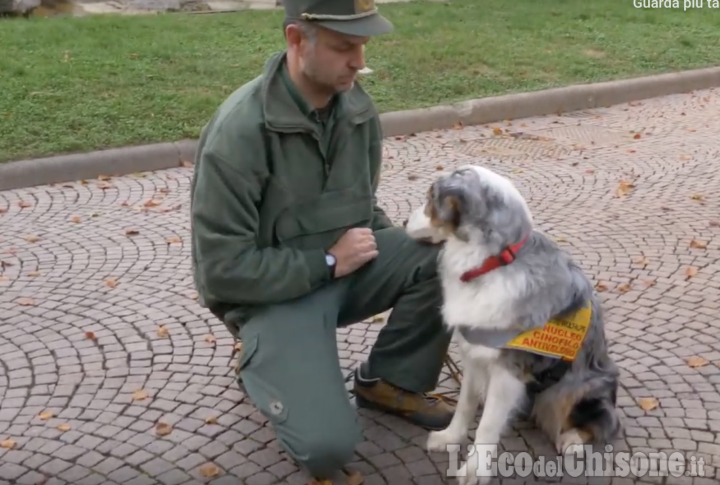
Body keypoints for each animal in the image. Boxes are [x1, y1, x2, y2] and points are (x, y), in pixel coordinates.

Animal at [404, 165, 620, 484]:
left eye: (430, 199)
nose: (404, 221)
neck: (492, 262)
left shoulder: (508, 369)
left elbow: (487, 425)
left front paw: (475, 469)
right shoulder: (474, 354)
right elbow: (465, 404)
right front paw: (450, 438)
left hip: (578, 387)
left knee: (606, 421)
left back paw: (573, 439)